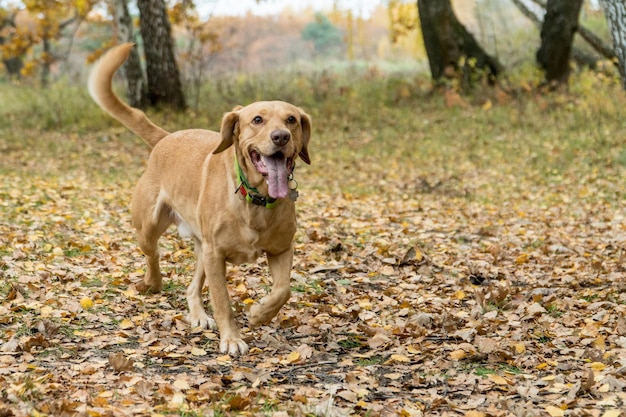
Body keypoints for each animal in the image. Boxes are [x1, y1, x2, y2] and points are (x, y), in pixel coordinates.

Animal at [88, 43, 312, 354]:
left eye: (291, 120)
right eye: (257, 119)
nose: (281, 136)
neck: (254, 199)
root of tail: (165, 138)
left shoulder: (281, 249)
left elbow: (283, 290)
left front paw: (260, 313)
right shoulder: (215, 254)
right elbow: (222, 301)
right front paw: (232, 338)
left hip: (201, 249)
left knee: (192, 287)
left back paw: (197, 313)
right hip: (151, 228)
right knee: (153, 255)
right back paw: (152, 283)